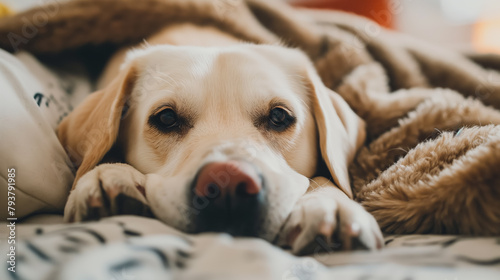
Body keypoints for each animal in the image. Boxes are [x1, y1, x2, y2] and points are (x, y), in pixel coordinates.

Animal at [59, 23, 382, 255]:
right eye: (166, 118)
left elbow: (323, 180)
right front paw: (111, 174)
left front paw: (329, 204)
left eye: (279, 116)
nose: (228, 183)